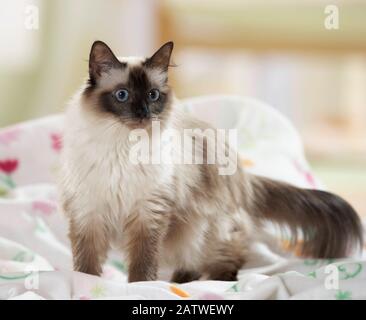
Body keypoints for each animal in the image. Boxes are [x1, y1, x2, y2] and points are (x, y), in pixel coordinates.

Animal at [58, 40, 362, 282]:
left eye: (152, 95)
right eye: (122, 95)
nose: (144, 114)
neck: (123, 148)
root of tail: (242, 175)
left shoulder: (148, 215)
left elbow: (143, 265)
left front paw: (139, 288)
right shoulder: (88, 213)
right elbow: (86, 264)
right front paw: (85, 283)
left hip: (205, 229)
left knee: (223, 257)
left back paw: (208, 282)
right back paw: (182, 282)